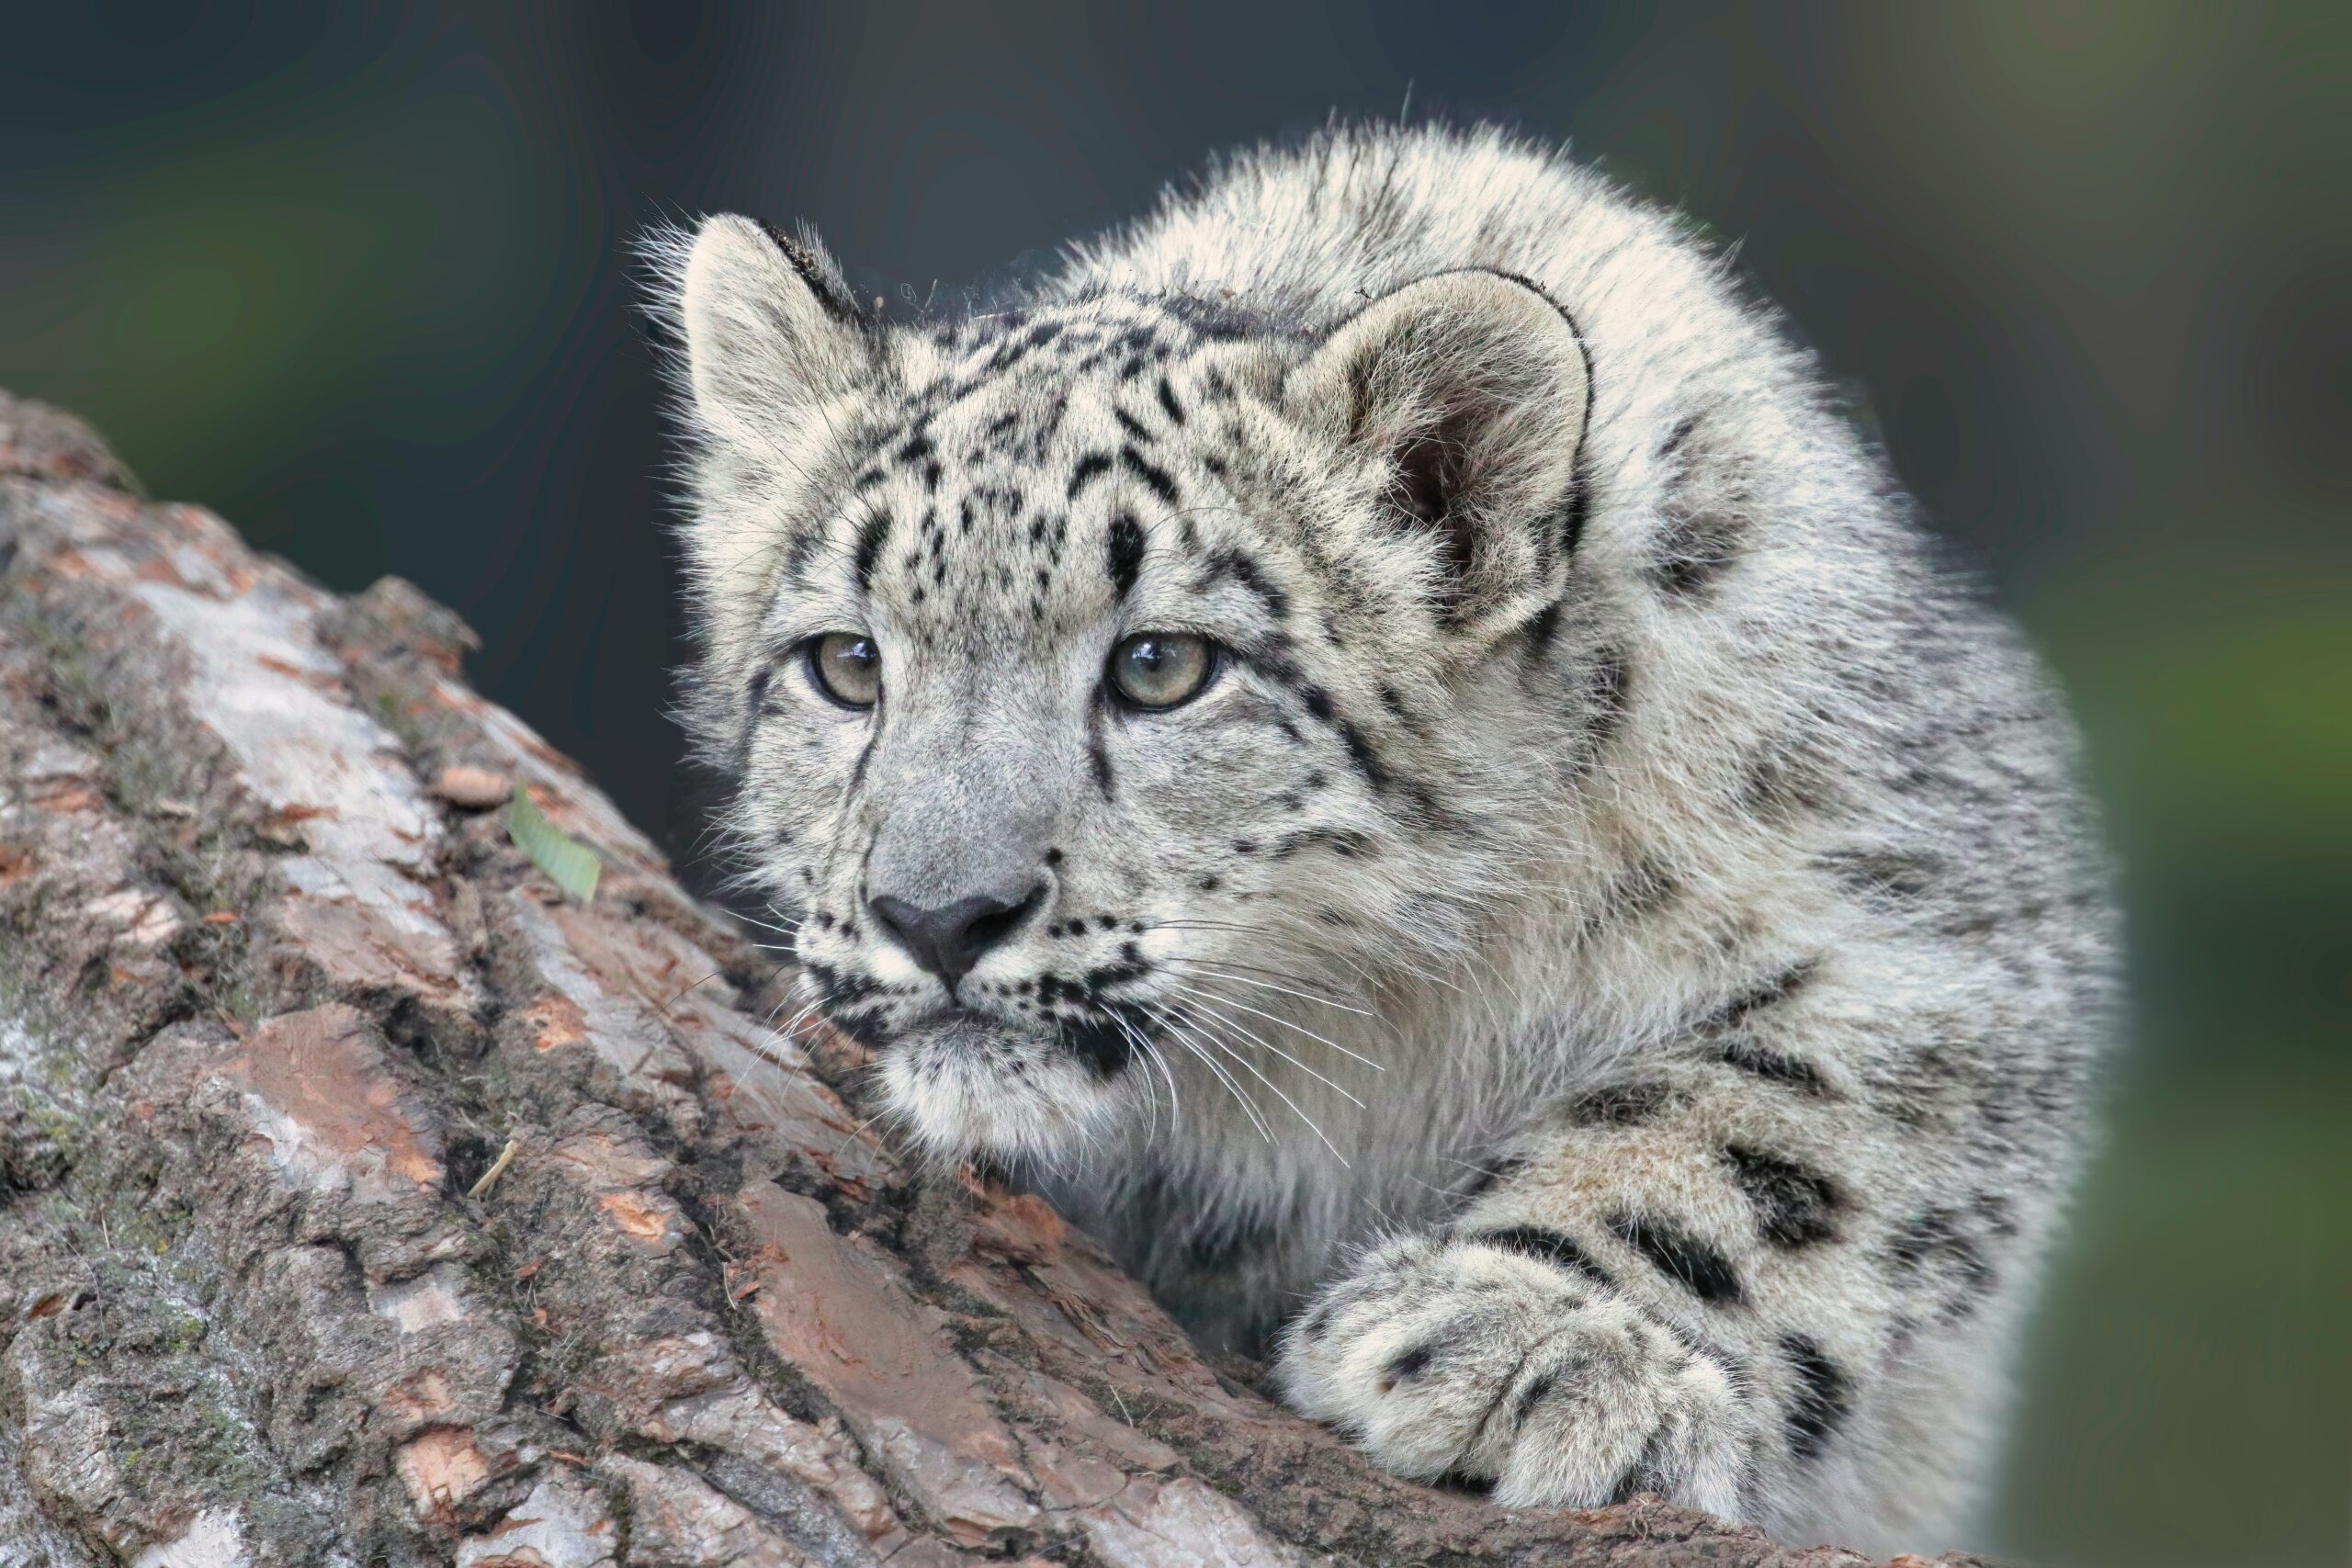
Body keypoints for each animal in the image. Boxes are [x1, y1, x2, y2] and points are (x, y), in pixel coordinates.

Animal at [644, 122, 2117, 1561]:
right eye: (846, 662)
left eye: (1163, 664)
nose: (938, 915)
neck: (1380, 1016)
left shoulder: (1931, 918)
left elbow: (1761, 1125)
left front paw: (1537, 1342)